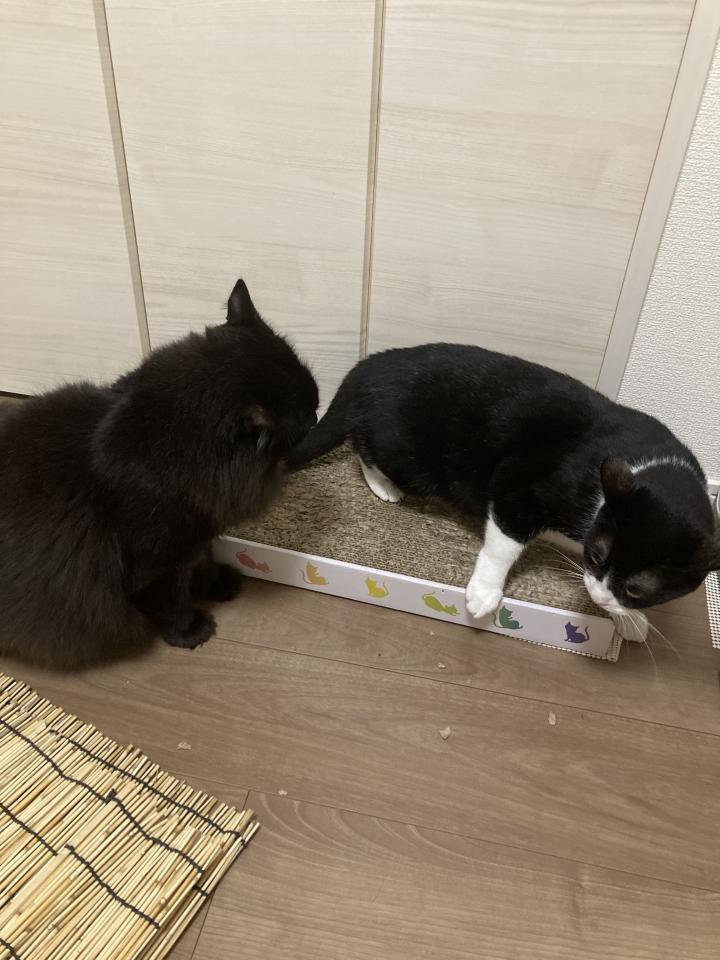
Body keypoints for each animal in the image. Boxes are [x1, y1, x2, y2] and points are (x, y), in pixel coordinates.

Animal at [0, 279, 318, 667]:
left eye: (314, 406)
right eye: (304, 418)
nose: (316, 417)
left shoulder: (196, 538)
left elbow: (202, 565)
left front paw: (219, 584)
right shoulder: (154, 566)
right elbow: (172, 603)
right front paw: (192, 631)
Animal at [289, 343, 719, 640]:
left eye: (637, 588)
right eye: (599, 556)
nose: (599, 599)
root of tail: (369, 364)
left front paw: (627, 619)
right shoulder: (518, 488)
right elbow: (504, 544)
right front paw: (485, 591)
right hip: (409, 453)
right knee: (362, 442)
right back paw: (384, 485)